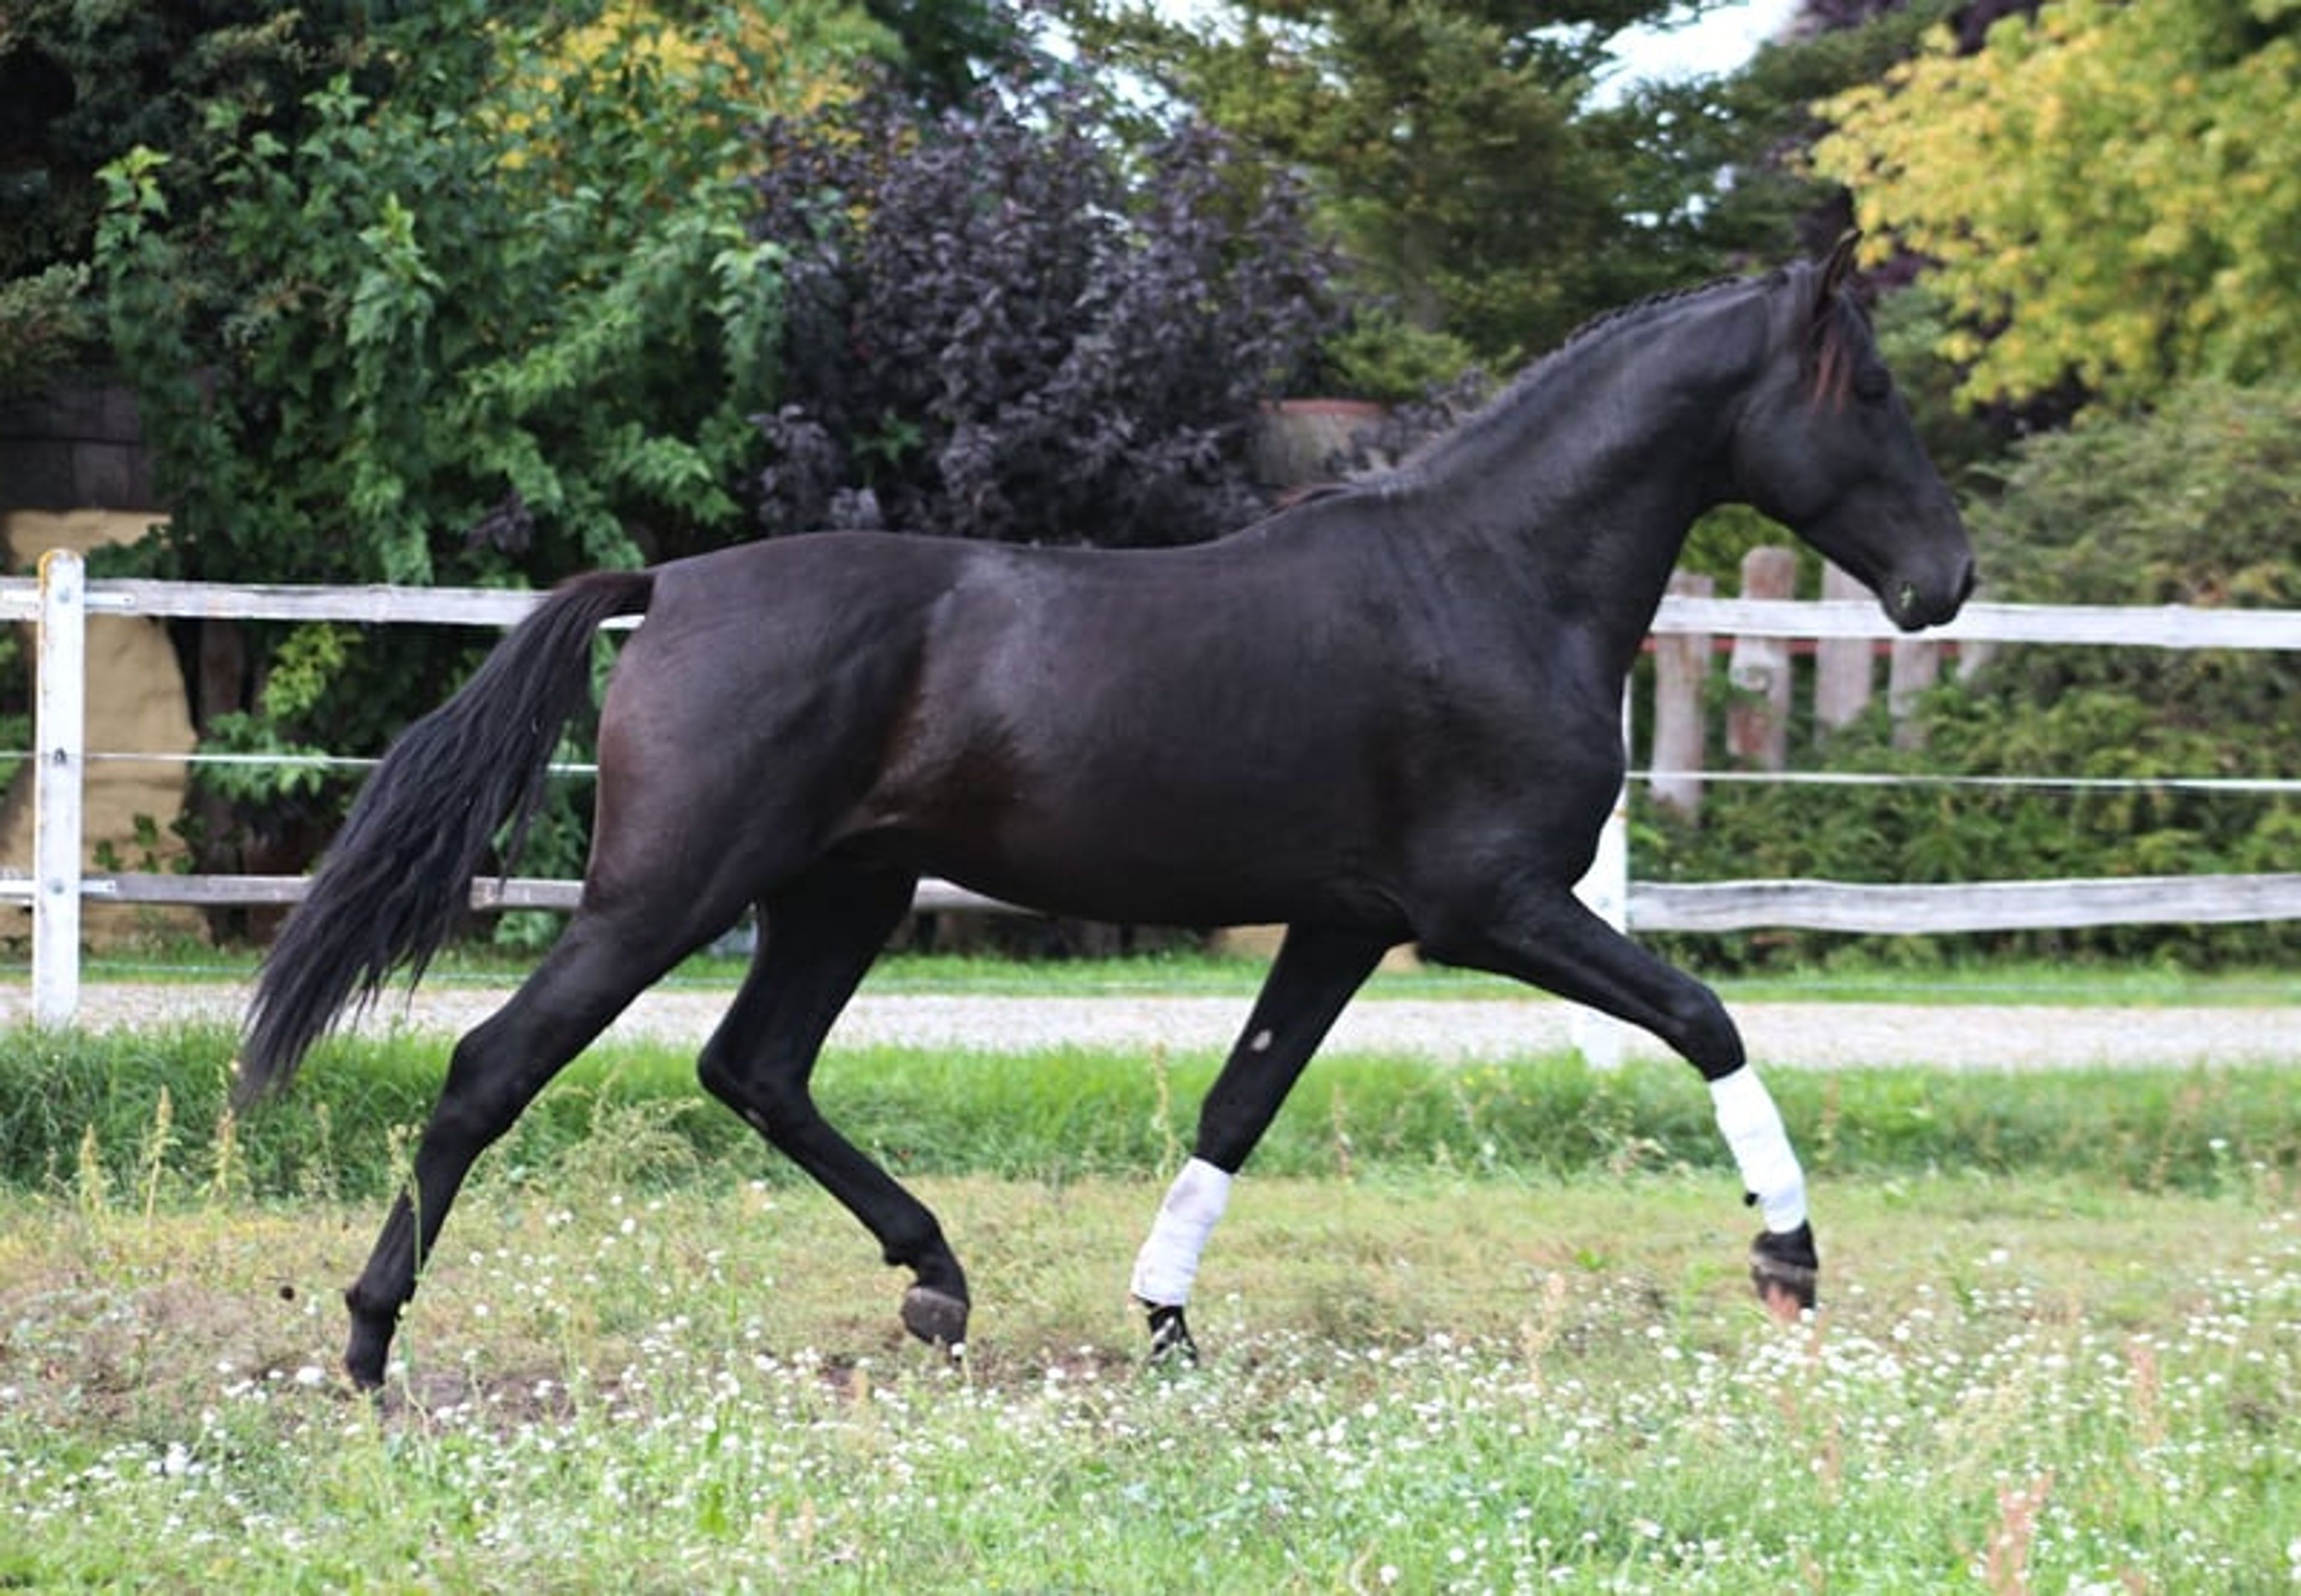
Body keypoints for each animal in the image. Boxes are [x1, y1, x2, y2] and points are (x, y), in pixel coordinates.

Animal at [238, 236, 1975, 1387]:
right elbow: (1703, 1017)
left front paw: (1166, 1318)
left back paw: (936, 1284)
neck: (1491, 578)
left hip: (843, 892)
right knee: (495, 1067)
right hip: (667, 892)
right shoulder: (1494, 910)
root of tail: (667, 586)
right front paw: (1785, 1258)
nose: (1945, 581)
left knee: (756, 1068)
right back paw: (371, 1345)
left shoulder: (1344, 924)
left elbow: (1237, 1103)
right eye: (1874, 389)